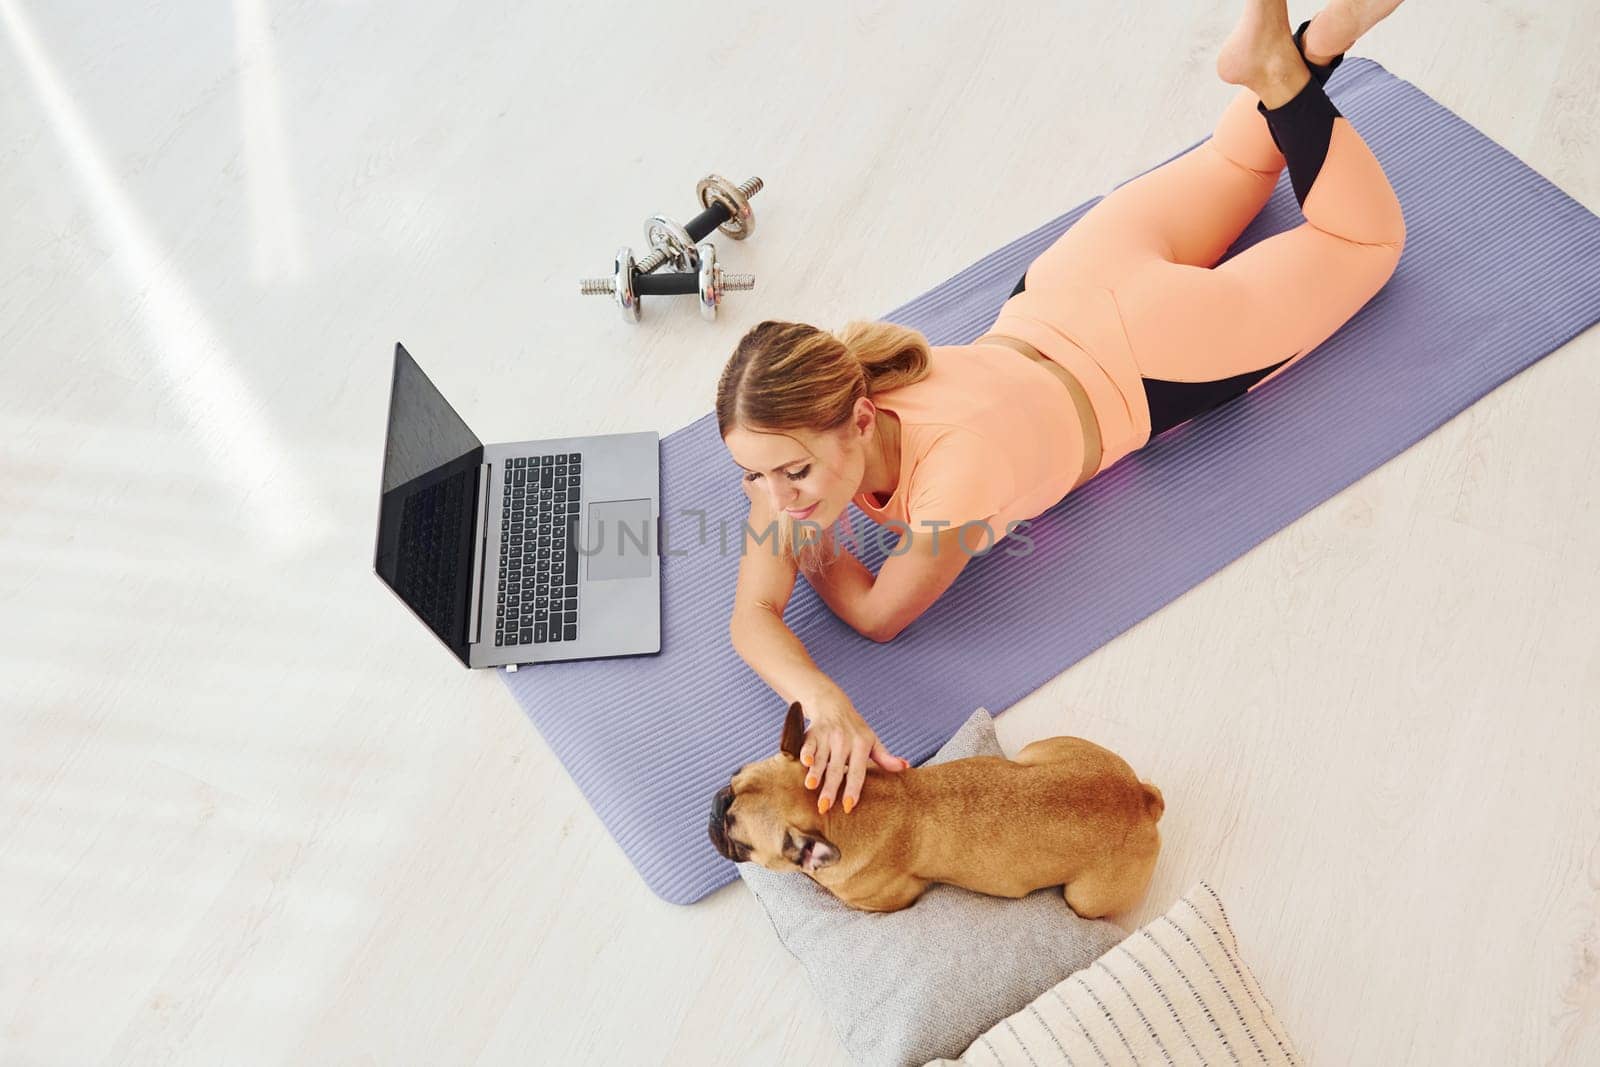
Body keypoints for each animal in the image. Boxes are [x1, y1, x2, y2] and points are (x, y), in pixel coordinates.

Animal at [710, 700, 1164, 921]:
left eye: (738, 837)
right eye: (731, 777)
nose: (715, 809)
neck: (836, 812)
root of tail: (1141, 801)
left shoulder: (880, 903)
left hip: (1084, 899)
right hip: (1039, 751)